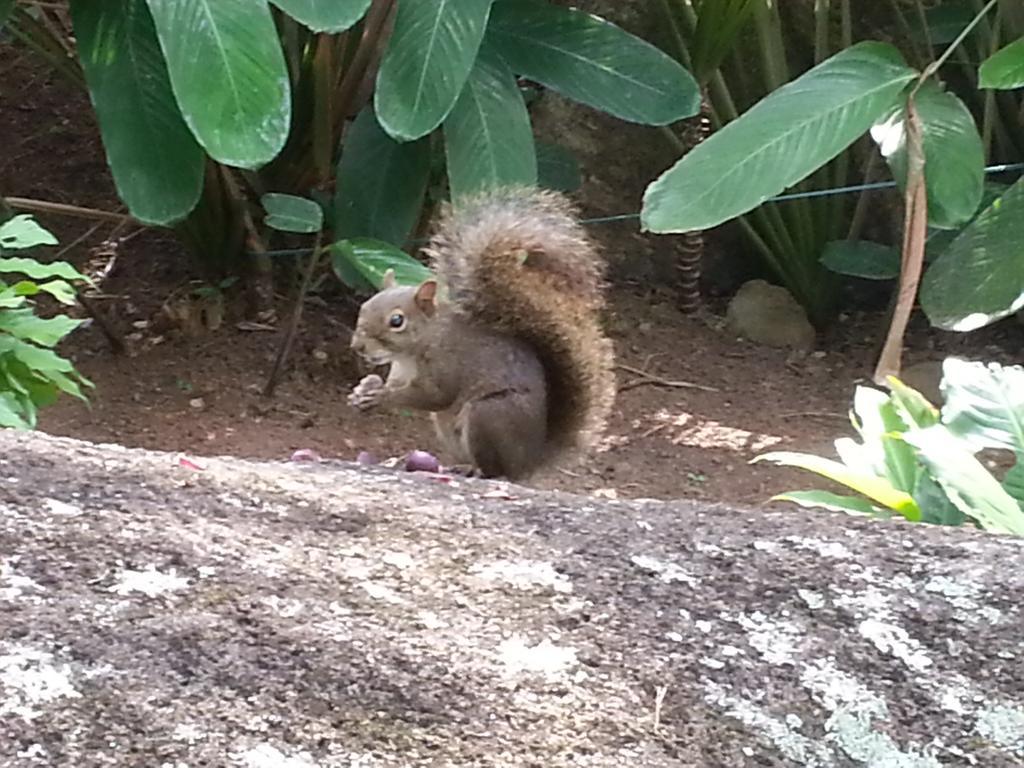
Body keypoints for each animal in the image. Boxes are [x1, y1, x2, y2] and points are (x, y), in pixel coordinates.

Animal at [344, 185, 614, 481]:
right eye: (364, 307)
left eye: (396, 320)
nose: (358, 347)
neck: (413, 350)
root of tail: (528, 463)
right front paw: (364, 388)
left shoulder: (446, 363)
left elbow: (436, 396)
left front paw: (381, 396)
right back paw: (461, 466)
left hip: (487, 416)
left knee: (495, 471)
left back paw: (479, 472)